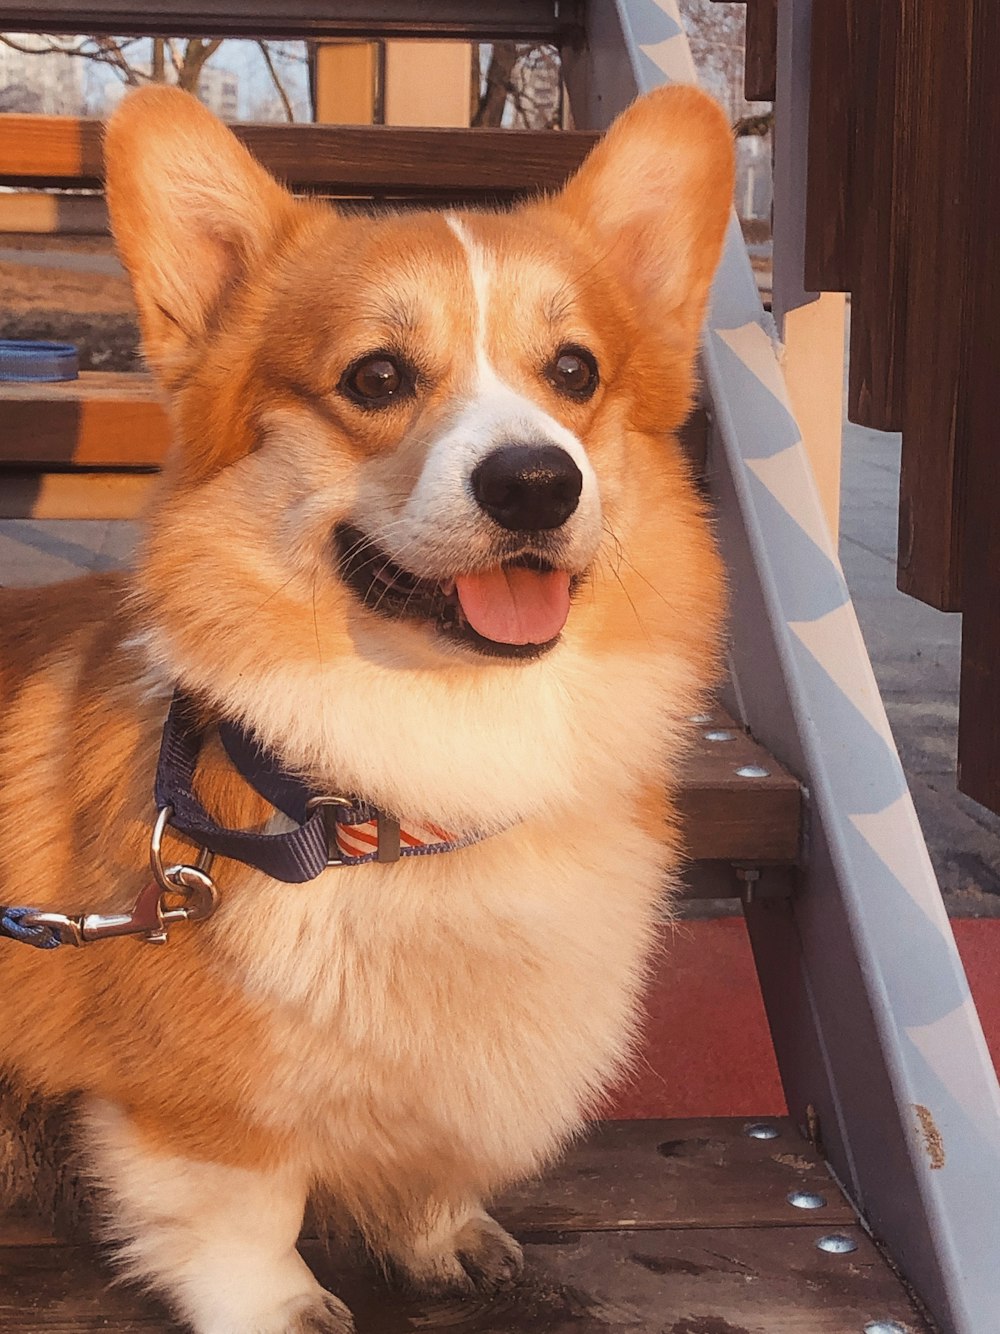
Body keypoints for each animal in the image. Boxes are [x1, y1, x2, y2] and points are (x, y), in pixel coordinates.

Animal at [0, 86, 736, 1334]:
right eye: (379, 379)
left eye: (574, 369)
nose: (536, 482)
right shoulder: (199, 1099)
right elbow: (242, 1210)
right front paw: (283, 1303)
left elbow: (430, 1155)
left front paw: (440, 1230)